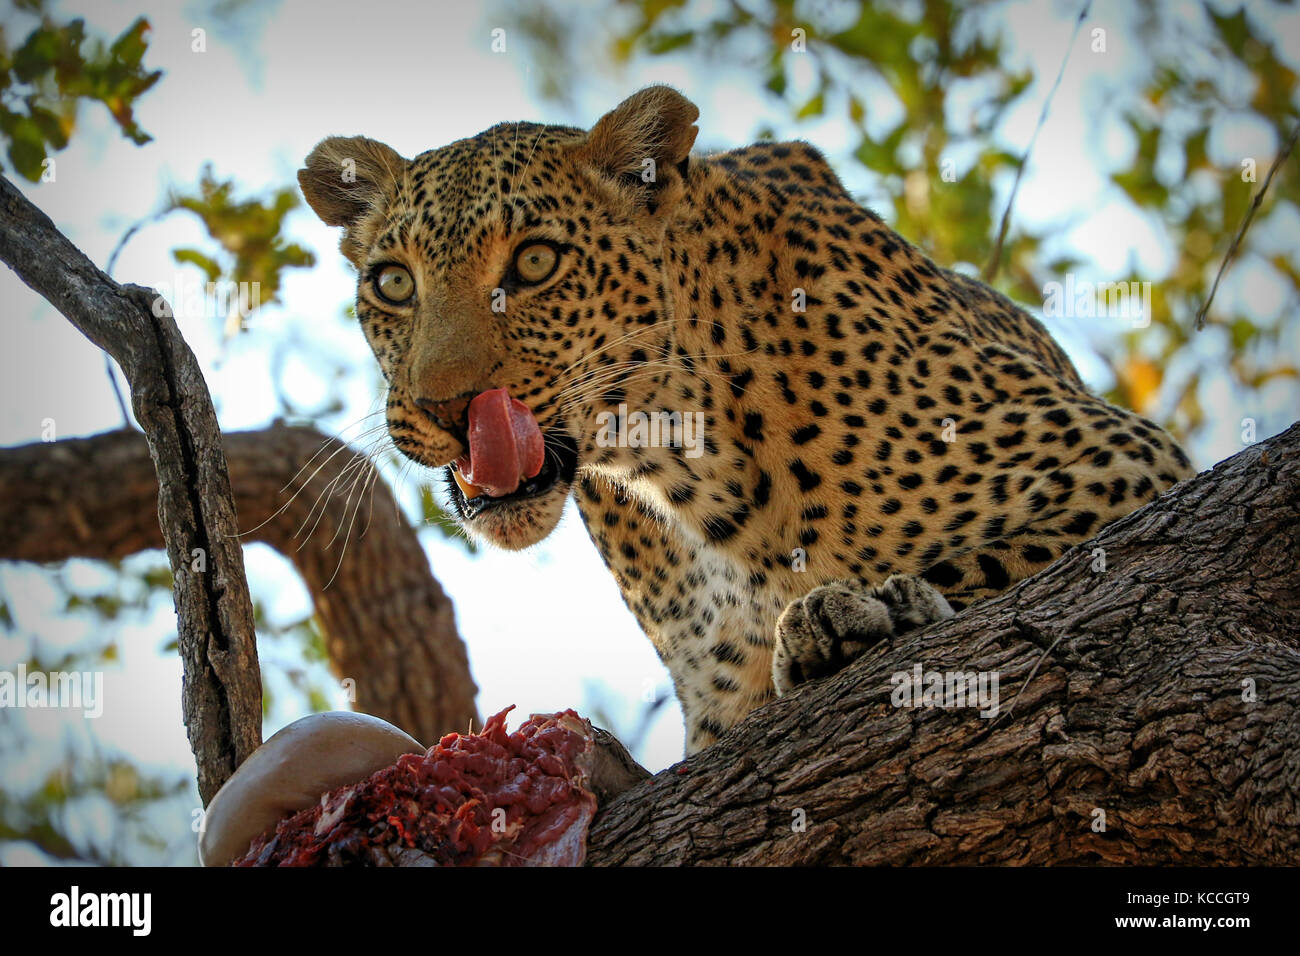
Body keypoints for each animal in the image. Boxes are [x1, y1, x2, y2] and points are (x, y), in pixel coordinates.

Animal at [299, 87, 1190, 754]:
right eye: (393, 282)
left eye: (536, 262)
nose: (445, 407)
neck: (686, 461)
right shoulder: (716, 705)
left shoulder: (1125, 459)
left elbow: (999, 560)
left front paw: (868, 610)